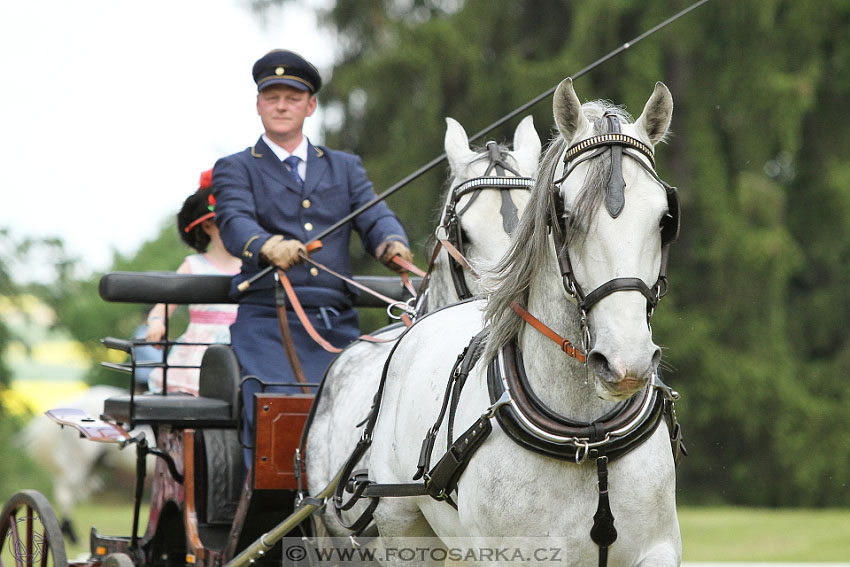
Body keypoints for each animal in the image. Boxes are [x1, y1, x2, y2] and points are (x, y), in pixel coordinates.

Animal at [362, 77, 680, 564]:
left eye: (665, 219)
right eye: (564, 216)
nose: (627, 364)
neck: (589, 439)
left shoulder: (657, 548)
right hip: (402, 527)